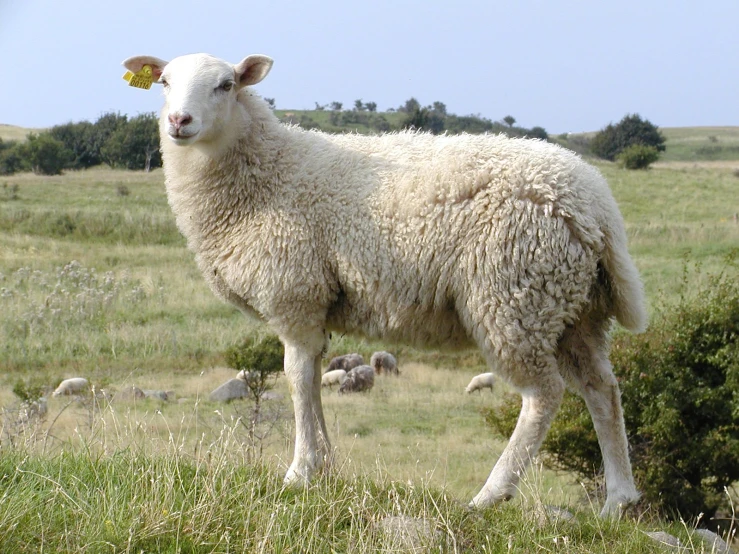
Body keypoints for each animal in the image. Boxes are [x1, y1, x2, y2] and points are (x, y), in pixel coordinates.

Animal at [121, 51, 648, 512]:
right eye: (164, 82)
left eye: (226, 84)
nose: (179, 121)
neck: (267, 171)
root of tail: (595, 204)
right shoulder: (314, 304)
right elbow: (313, 381)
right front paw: (326, 467)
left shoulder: (294, 294)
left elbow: (297, 379)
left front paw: (301, 471)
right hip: (572, 308)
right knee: (602, 389)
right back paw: (618, 501)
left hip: (514, 294)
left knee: (545, 394)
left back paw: (490, 494)